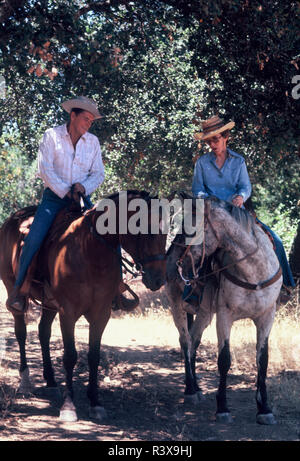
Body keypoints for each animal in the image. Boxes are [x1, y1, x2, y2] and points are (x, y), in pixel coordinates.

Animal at [0, 190, 166, 420]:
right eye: (146, 230)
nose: (158, 279)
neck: (89, 252)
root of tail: (12, 219)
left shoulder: (101, 313)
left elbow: (94, 356)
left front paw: (95, 401)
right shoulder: (68, 312)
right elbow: (70, 356)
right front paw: (69, 406)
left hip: (50, 305)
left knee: (43, 332)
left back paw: (51, 381)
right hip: (13, 290)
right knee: (21, 332)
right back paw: (25, 381)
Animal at [168, 194, 282, 424]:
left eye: (190, 229)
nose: (176, 262)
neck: (254, 272)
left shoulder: (267, 316)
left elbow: (263, 359)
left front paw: (264, 408)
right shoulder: (224, 316)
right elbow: (224, 360)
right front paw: (222, 408)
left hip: (204, 314)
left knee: (194, 341)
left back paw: (196, 388)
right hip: (177, 305)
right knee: (185, 341)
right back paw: (190, 391)